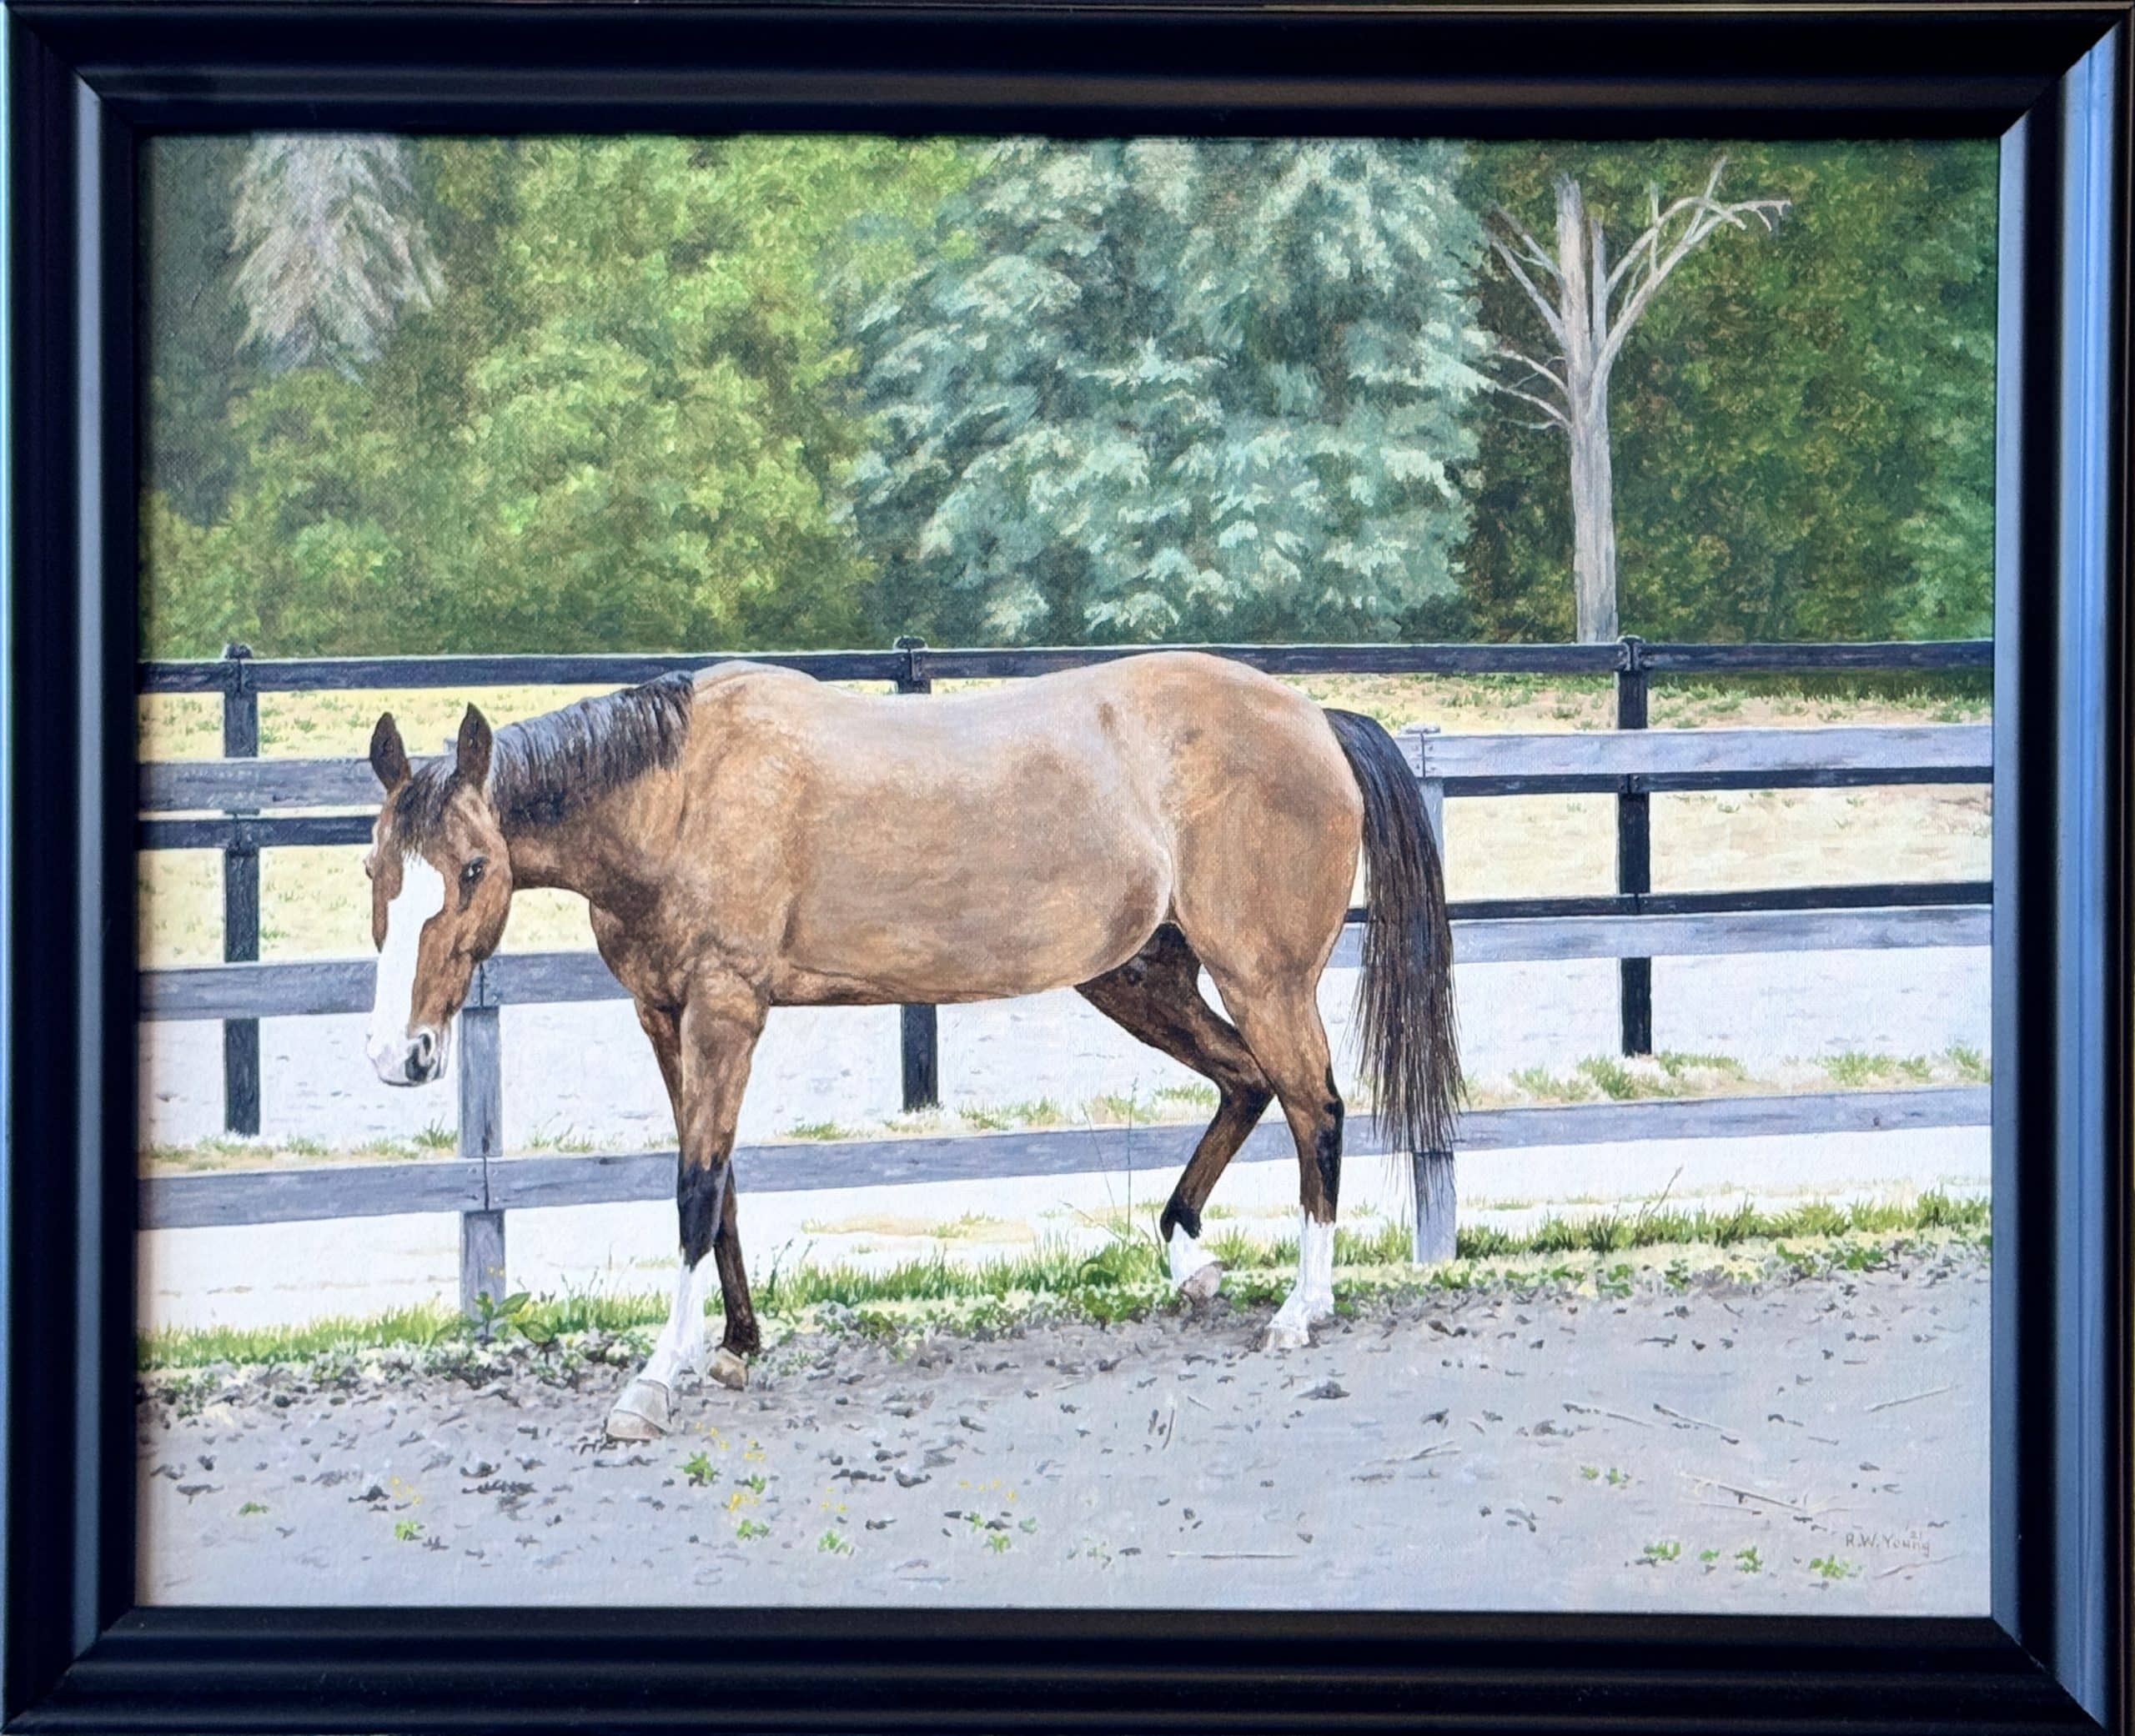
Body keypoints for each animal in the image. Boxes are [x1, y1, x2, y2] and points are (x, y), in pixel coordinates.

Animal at [361, 651, 1458, 1441]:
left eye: (471, 867)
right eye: (376, 869)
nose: (397, 1057)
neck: (681, 797)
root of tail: (1315, 719)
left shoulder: (726, 1009)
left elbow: (693, 1188)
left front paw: (656, 1379)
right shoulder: (666, 1017)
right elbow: (720, 1185)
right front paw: (735, 1344)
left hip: (1262, 977)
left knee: (1315, 1106)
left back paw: (1301, 1309)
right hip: (1142, 976)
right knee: (1245, 1086)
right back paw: (1190, 1260)